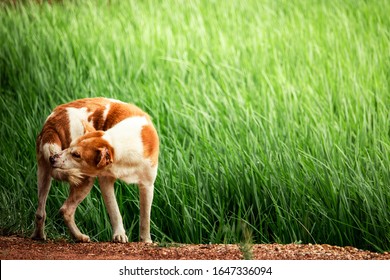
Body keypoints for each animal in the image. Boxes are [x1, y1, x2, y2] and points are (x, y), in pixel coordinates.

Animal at [30, 98, 158, 243]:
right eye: (70, 147)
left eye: (76, 155)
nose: (52, 158)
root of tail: (53, 120)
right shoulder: (105, 181)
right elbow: (115, 211)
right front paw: (119, 235)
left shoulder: (147, 186)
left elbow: (145, 218)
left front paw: (146, 241)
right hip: (84, 178)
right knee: (65, 210)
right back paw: (79, 237)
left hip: (43, 175)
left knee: (41, 212)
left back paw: (40, 236)